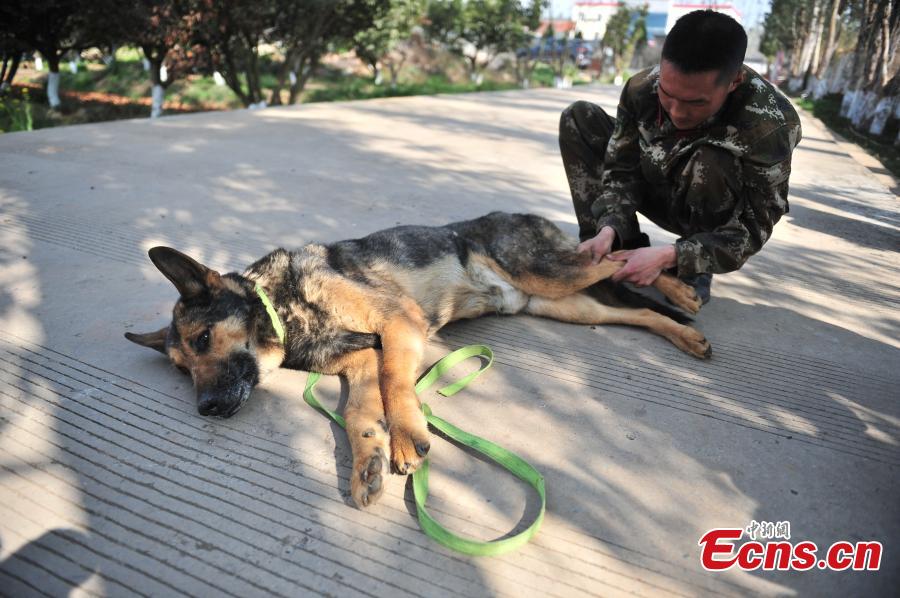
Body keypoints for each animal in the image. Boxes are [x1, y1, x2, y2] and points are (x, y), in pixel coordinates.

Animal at [126, 213, 712, 508]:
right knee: (630, 306)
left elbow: (394, 383)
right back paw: (684, 333)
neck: (284, 308)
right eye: (181, 369)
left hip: (553, 275)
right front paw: (368, 461)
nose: (205, 409)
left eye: (203, 338)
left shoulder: (397, 326)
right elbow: (361, 413)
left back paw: (680, 289)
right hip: (558, 302)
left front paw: (407, 436)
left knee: (617, 256)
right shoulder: (361, 362)